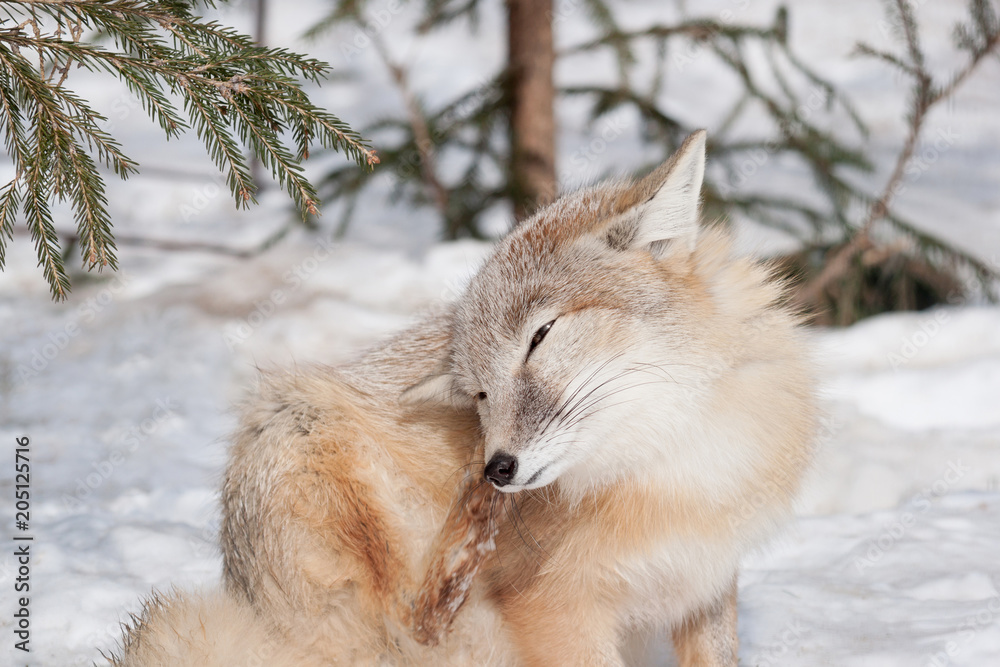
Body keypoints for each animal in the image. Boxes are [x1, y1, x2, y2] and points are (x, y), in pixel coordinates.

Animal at [108, 130, 816, 667]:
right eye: (478, 392)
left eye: (539, 338)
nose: (495, 469)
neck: (676, 469)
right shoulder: (554, 609)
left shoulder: (705, 587)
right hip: (300, 432)